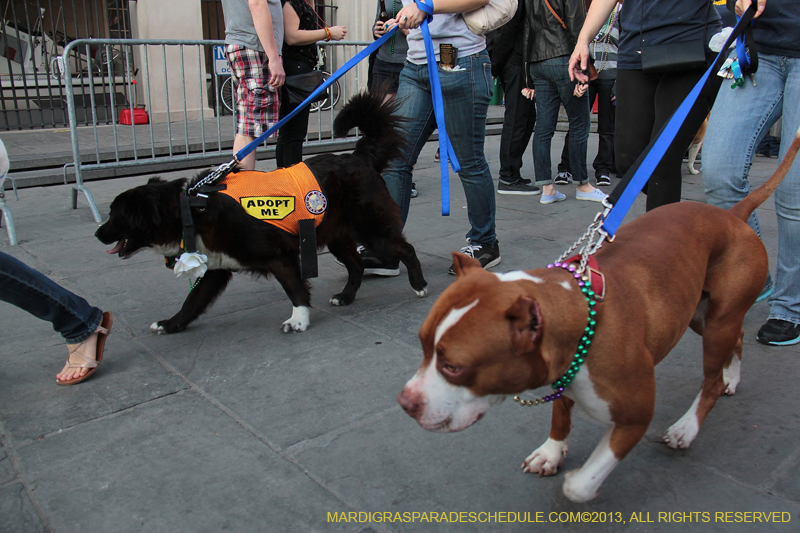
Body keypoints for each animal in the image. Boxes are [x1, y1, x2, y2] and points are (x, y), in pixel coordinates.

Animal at [97, 92, 428, 332]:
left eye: (115, 215)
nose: (98, 233)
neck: (193, 207)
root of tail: (359, 156)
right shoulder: (216, 268)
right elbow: (192, 301)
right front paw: (171, 324)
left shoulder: (280, 256)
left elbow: (296, 290)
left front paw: (299, 320)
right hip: (337, 235)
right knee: (357, 265)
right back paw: (346, 296)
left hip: (372, 230)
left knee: (406, 249)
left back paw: (419, 285)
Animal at [398, 128, 800, 498]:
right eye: (422, 346)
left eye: (454, 367)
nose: (405, 402)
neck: (581, 323)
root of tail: (733, 216)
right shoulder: (563, 379)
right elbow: (560, 417)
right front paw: (551, 452)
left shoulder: (636, 416)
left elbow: (581, 484)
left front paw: (577, 480)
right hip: (701, 315)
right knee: (739, 336)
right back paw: (731, 377)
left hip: (717, 321)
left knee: (711, 380)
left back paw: (688, 426)